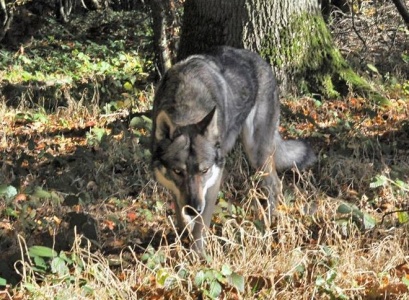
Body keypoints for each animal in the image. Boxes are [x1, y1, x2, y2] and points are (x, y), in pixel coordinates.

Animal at [151, 46, 314, 253]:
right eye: (178, 171)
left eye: (204, 170)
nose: (194, 208)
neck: (187, 103)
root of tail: (260, 59)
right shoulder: (175, 189)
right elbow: (181, 219)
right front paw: (181, 243)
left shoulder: (214, 180)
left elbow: (200, 227)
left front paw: (197, 256)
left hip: (256, 152)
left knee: (274, 185)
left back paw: (267, 227)